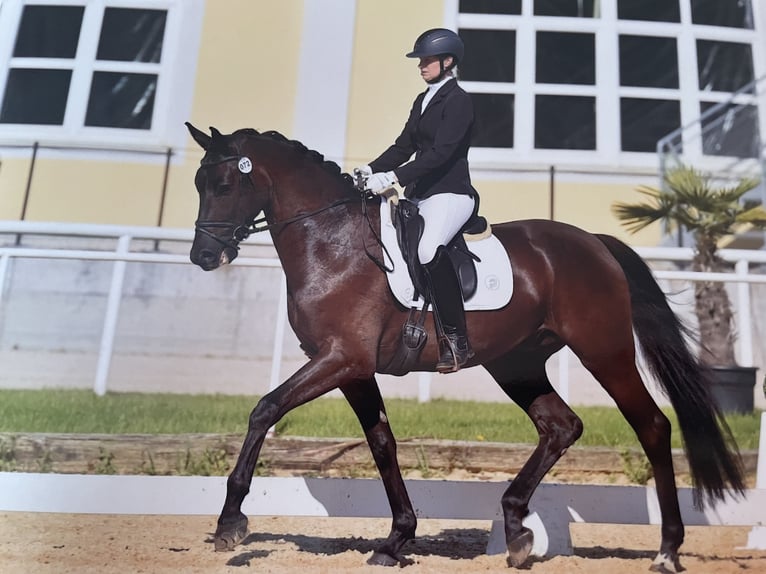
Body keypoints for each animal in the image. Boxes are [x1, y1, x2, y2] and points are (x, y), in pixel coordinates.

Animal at [184, 122, 744, 572]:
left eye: (225, 185)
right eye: (198, 185)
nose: (204, 256)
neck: (333, 243)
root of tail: (593, 242)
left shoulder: (341, 358)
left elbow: (265, 408)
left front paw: (230, 522)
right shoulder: (353, 369)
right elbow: (382, 444)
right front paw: (396, 539)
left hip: (604, 352)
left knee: (651, 426)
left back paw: (667, 550)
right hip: (517, 363)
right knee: (561, 426)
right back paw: (516, 531)